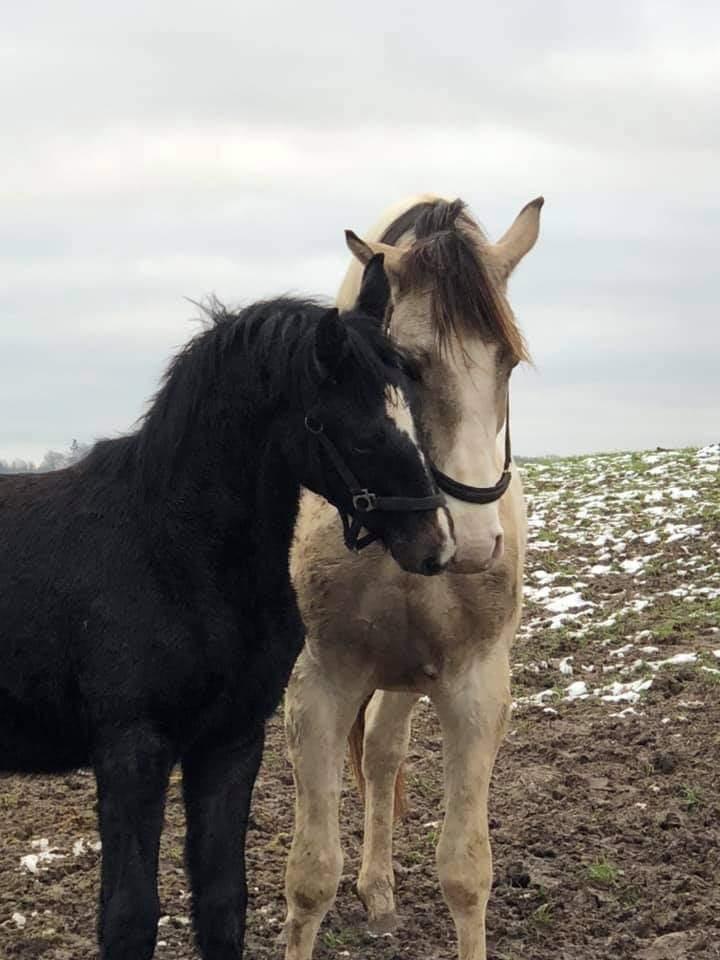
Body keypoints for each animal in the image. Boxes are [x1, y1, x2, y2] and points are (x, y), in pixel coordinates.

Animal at [0, 256, 456, 960]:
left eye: (410, 407)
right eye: (351, 431)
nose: (434, 545)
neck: (172, 552)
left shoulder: (231, 742)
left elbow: (221, 903)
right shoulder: (132, 750)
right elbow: (129, 917)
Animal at [284, 195, 544, 960]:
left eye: (508, 361)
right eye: (409, 365)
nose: (476, 541)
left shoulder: (475, 688)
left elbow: (465, 871)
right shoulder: (321, 685)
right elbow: (310, 877)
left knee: (380, 754)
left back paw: (379, 891)